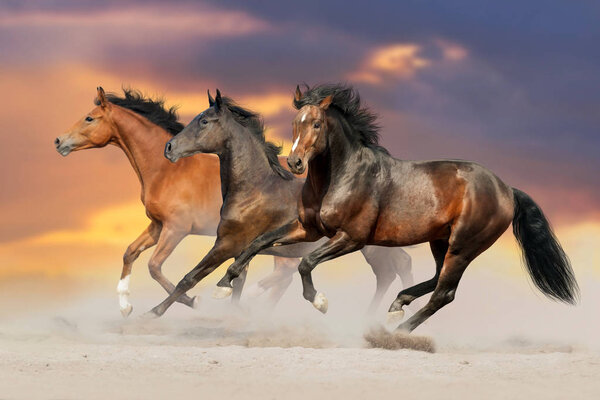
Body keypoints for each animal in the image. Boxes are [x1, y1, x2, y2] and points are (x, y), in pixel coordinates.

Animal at [55, 86, 412, 316]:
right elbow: (130, 253)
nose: (59, 141)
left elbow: (164, 270)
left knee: (392, 269)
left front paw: (187, 303)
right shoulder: (158, 225)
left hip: (362, 243)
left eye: (89, 118)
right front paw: (126, 305)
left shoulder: (181, 230)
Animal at [214, 83, 576, 332]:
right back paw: (397, 306)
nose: (295, 163)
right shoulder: (309, 228)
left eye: (316, 124)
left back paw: (398, 330)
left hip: (463, 246)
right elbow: (257, 242)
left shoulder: (351, 238)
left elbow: (305, 264)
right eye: (295, 122)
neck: (341, 176)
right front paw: (224, 285)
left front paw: (320, 302)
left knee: (444, 292)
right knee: (435, 279)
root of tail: (506, 189)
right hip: (440, 241)